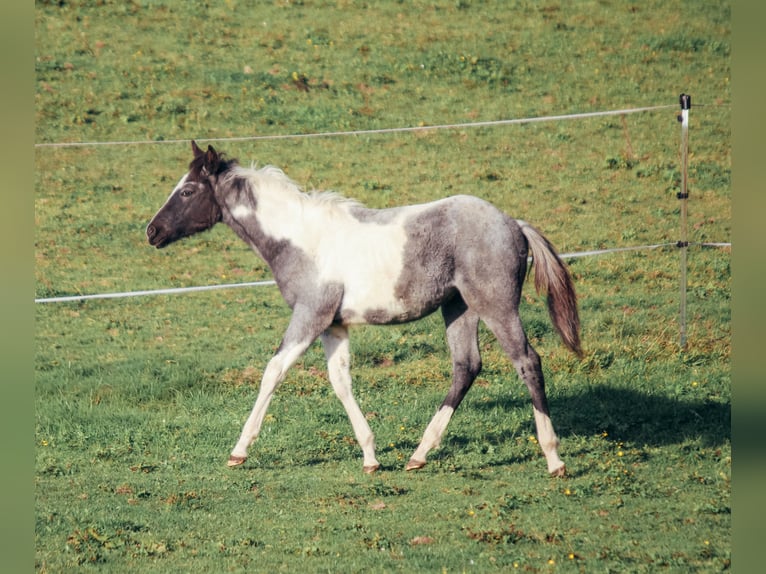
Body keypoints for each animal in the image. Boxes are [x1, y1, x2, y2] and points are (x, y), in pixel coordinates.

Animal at [146, 140, 582, 477]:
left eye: (187, 191)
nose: (152, 231)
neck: (301, 240)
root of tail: (513, 223)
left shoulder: (309, 315)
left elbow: (273, 371)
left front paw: (239, 451)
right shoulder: (333, 325)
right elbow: (340, 381)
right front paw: (371, 457)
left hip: (496, 305)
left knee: (527, 361)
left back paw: (553, 458)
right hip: (460, 308)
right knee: (466, 367)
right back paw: (418, 455)